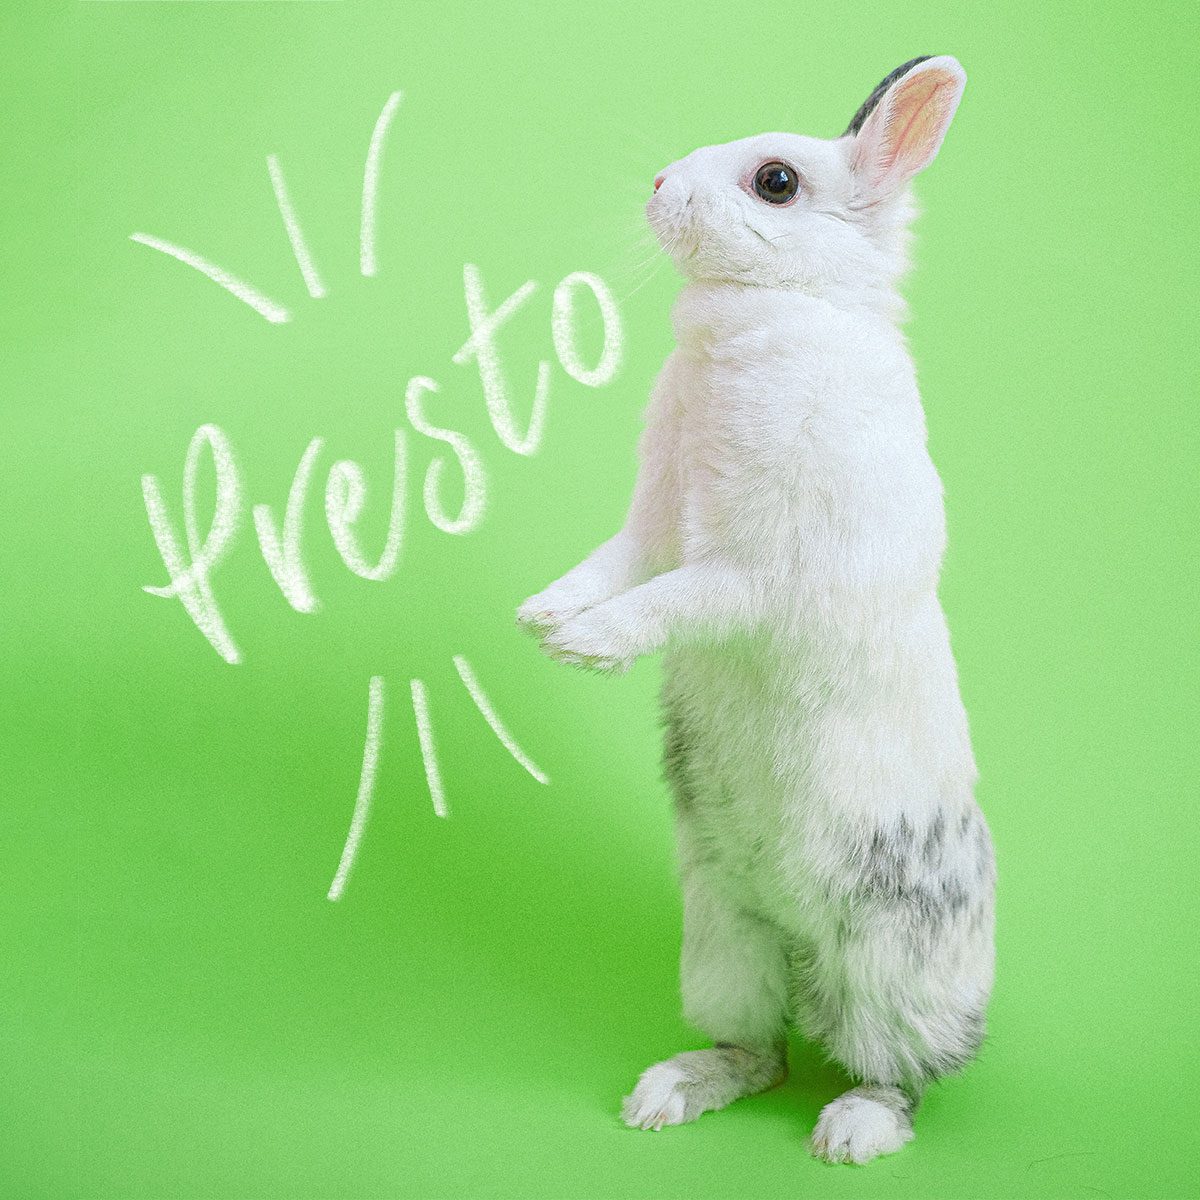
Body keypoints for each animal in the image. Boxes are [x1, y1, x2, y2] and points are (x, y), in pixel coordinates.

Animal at [516, 54, 993, 1161]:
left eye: (776, 183)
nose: (658, 182)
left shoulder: (757, 572)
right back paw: (670, 1093)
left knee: (900, 1073)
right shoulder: (653, 523)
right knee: (760, 1051)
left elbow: (676, 598)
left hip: (894, 973)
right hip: (722, 940)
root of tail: (806, 953)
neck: (774, 312)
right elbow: (616, 563)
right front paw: (544, 618)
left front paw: (590, 646)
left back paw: (852, 1132)